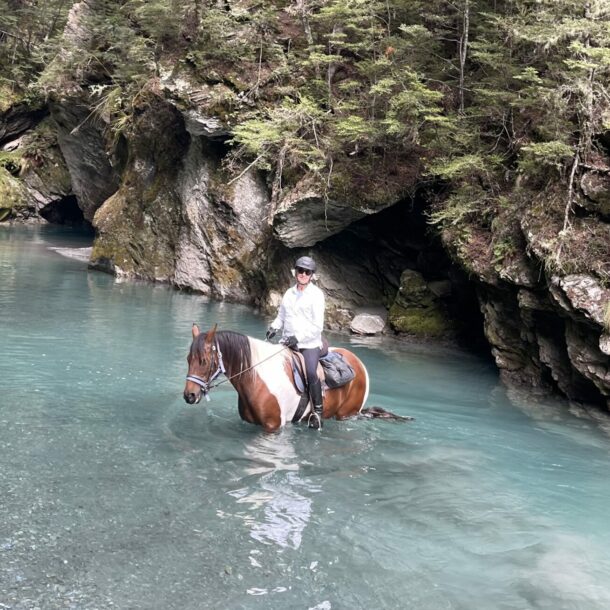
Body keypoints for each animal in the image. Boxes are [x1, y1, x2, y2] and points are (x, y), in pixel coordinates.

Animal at [183, 324, 408, 432]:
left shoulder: (273, 428)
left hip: (347, 414)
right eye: (188, 359)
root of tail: (359, 363)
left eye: (204, 361)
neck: (256, 378)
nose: (189, 395)